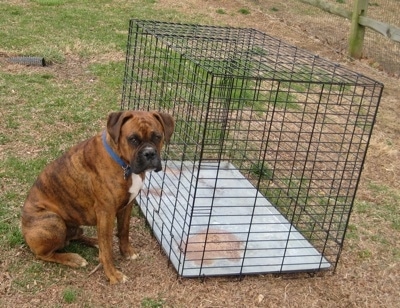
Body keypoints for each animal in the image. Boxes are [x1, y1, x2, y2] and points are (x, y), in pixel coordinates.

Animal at [20, 110, 173, 284]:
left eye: (157, 137)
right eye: (133, 139)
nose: (149, 153)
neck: (123, 163)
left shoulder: (127, 205)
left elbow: (123, 231)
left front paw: (127, 252)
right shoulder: (106, 213)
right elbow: (107, 249)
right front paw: (113, 274)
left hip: (73, 224)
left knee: (75, 236)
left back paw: (93, 242)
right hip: (53, 221)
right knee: (45, 254)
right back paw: (72, 258)